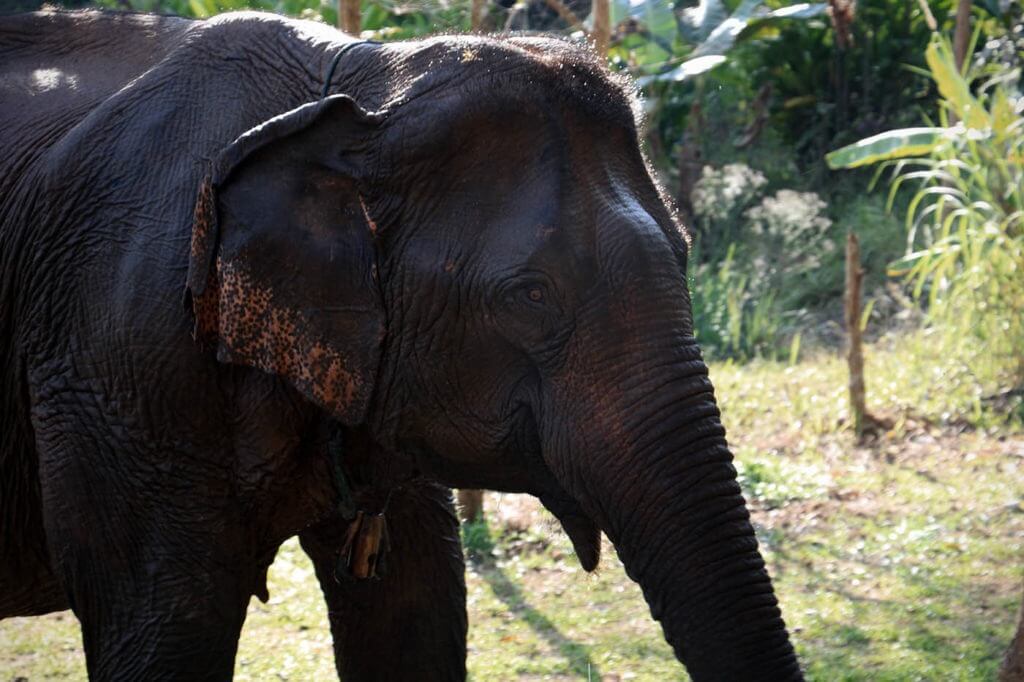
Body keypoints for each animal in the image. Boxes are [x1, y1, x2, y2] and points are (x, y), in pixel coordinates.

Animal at [0, 8, 802, 681]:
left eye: (686, 252)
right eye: (531, 296)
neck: (359, 88)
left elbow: (415, 610)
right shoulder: (116, 364)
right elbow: (163, 629)